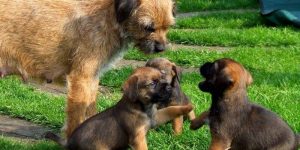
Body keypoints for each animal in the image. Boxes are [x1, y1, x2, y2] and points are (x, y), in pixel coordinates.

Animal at [0, 0, 176, 137]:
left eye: (167, 27)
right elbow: (77, 114)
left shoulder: (92, 78)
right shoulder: (82, 78)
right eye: (148, 27)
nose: (161, 48)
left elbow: (90, 108)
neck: (109, 16)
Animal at [45, 67, 193, 150]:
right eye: (152, 83)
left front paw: (188, 107)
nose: (169, 87)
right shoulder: (137, 137)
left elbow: (171, 110)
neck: (144, 108)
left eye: (163, 78)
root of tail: (69, 143)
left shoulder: (156, 118)